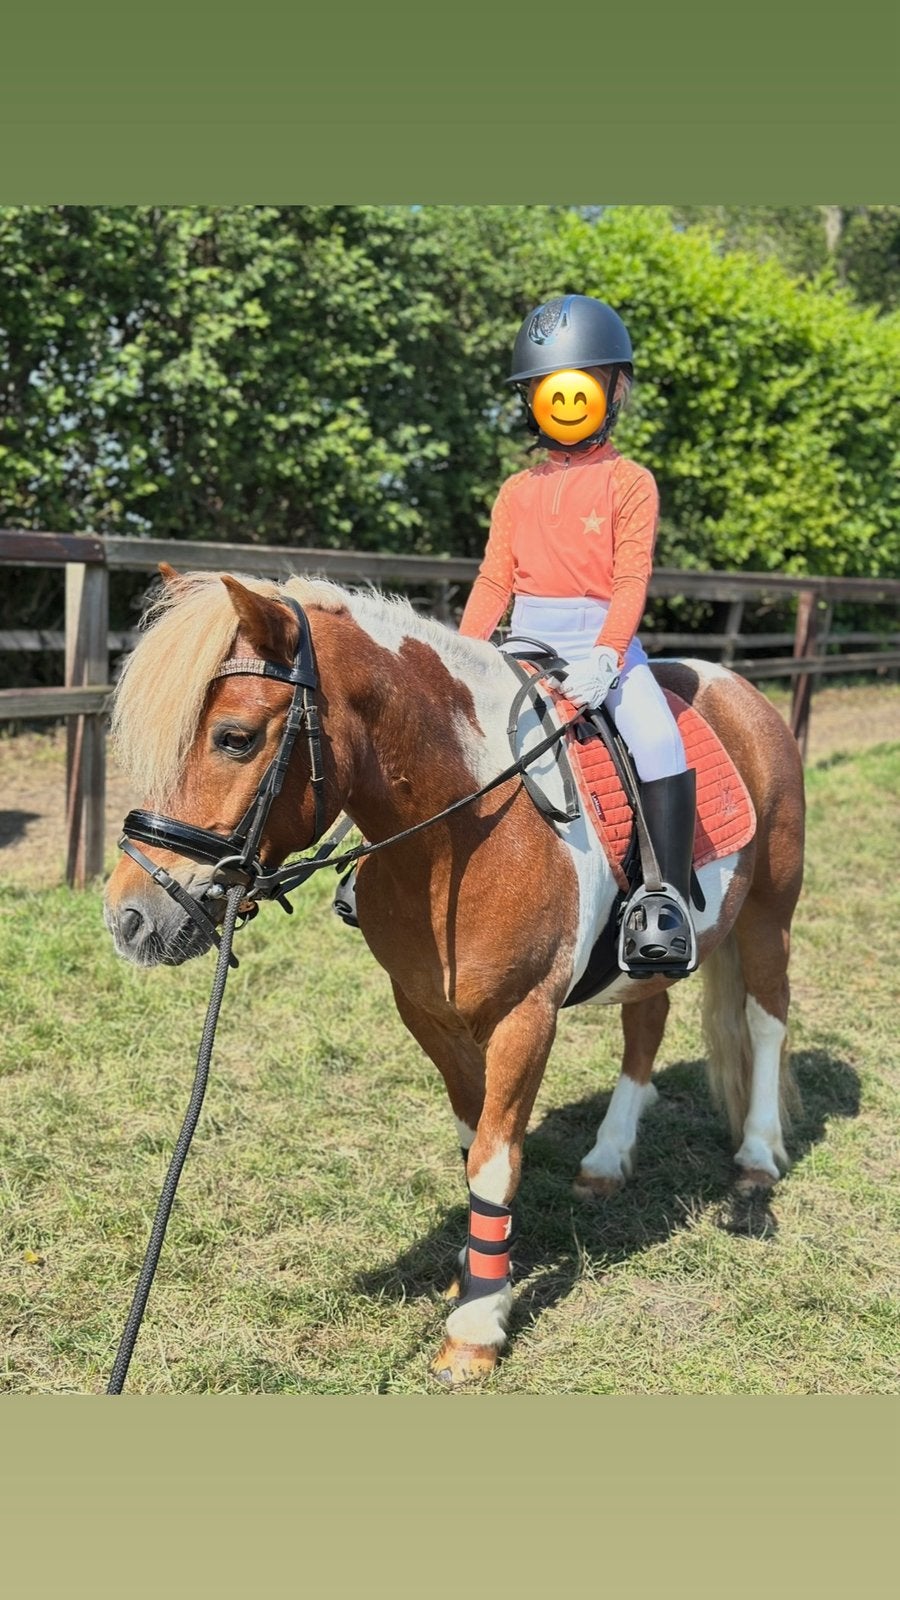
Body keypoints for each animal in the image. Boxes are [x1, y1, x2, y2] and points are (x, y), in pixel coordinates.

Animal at [103, 567, 805, 1386]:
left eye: (235, 737)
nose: (130, 916)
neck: (460, 835)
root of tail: (738, 688)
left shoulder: (526, 1016)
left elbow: (496, 1160)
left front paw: (475, 1329)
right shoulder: (427, 1012)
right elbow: (473, 1145)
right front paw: (477, 1275)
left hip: (770, 909)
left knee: (766, 1018)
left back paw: (757, 1157)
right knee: (646, 1024)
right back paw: (606, 1161)